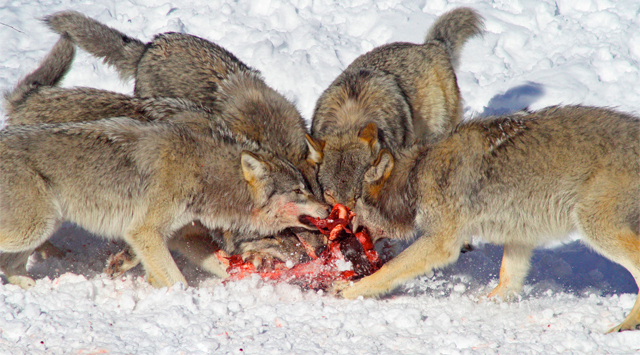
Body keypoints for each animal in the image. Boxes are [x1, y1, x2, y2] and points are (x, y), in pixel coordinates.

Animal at [0, 115, 330, 290]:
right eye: (299, 191)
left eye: (307, 189)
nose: (328, 208)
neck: (202, 173)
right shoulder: (144, 233)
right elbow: (179, 281)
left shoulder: (180, 236)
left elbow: (223, 267)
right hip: (33, 227)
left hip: (42, 226)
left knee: (10, 265)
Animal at [338, 105, 636, 334]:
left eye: (354, 203)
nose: (347, 229)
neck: (417, 173)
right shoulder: (519, 234)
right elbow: (508, 279)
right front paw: (484, 303)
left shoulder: (440, 243)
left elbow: (389, 269)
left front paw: (348, 291)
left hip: (595, 227)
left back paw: (626, 325)